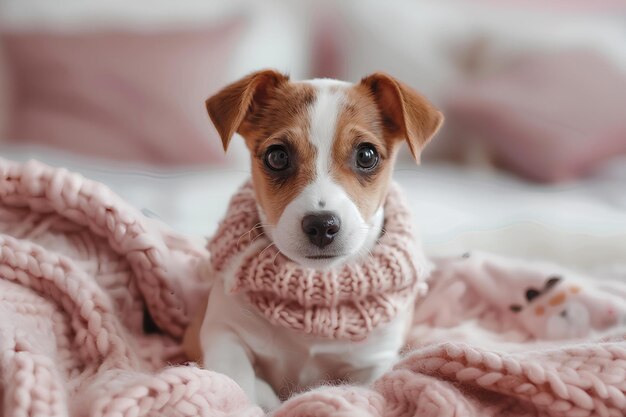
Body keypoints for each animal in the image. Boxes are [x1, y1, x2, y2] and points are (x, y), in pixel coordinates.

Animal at [183, 70, 442, 408]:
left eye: (366, 155)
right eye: (277, 156)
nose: (322, 225)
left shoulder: (376, 362)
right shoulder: (224, 333)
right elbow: (241, 384)